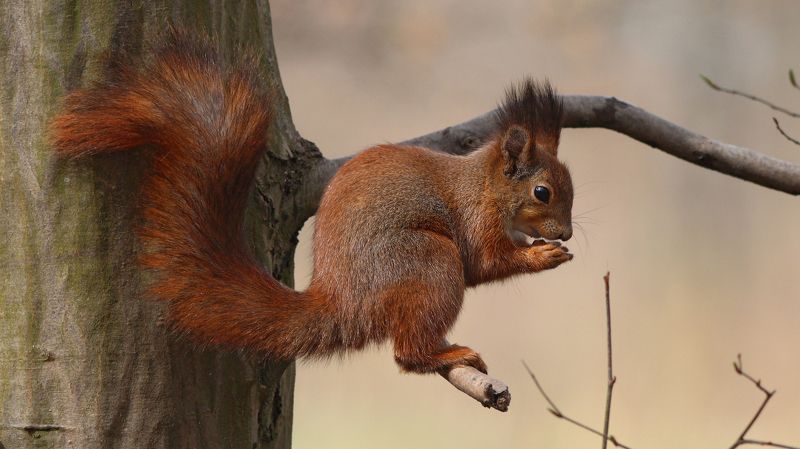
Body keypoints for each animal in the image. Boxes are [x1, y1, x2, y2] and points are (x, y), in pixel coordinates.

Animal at [51, 30, 574, 376]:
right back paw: (443, 353)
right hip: (426, 262)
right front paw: (542, 255)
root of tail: (342, 300)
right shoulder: (475, 219)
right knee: (406, 352)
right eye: (542, 192)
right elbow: (484, 262)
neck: (486, 187)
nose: (567, 233)